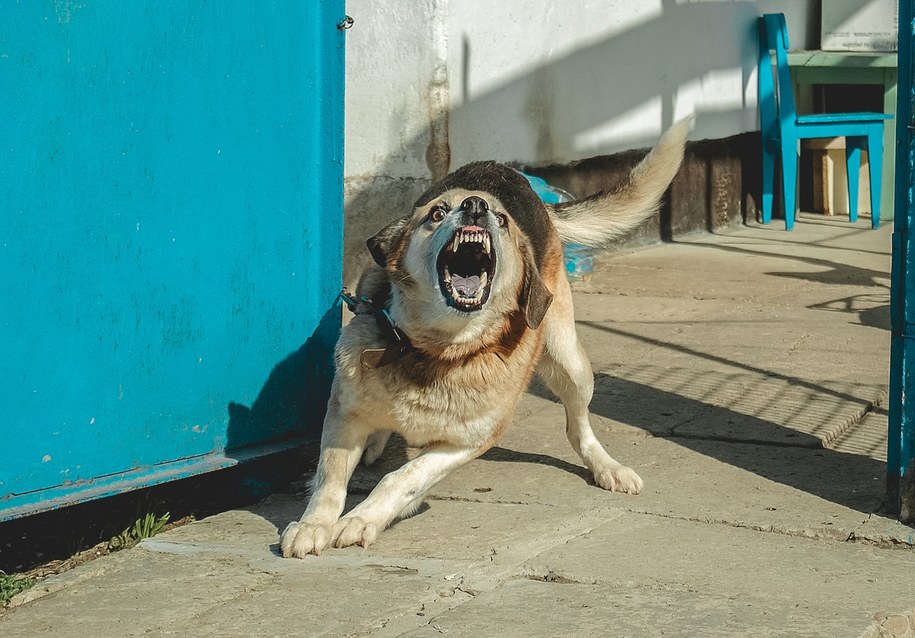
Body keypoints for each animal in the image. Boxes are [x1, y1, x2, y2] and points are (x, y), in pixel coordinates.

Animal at [282, 120, 692, 560]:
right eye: (436, 213)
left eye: (502, 220)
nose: (476, 206)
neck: (436, 349)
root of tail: (510, 174)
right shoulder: (343, 415)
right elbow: (329, 480)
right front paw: (313, 524)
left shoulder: (465, 443)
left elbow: (404, 477)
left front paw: (362, 519)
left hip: (570, 363)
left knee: (578, 426)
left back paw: (608, 468)